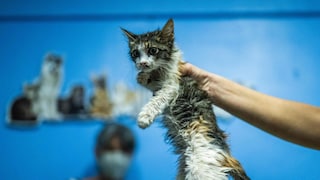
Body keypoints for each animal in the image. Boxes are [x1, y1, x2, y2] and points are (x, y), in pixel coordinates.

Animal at [122, 19, 250, 179]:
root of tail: (226, 154)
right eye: (135, 53)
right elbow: (150, 84)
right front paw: (143, 77)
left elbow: (158, 99)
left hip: (201, 164)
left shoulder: (174, 84)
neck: (159, 71)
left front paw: (144, 117)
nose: (142, 64)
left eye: (153, 50)